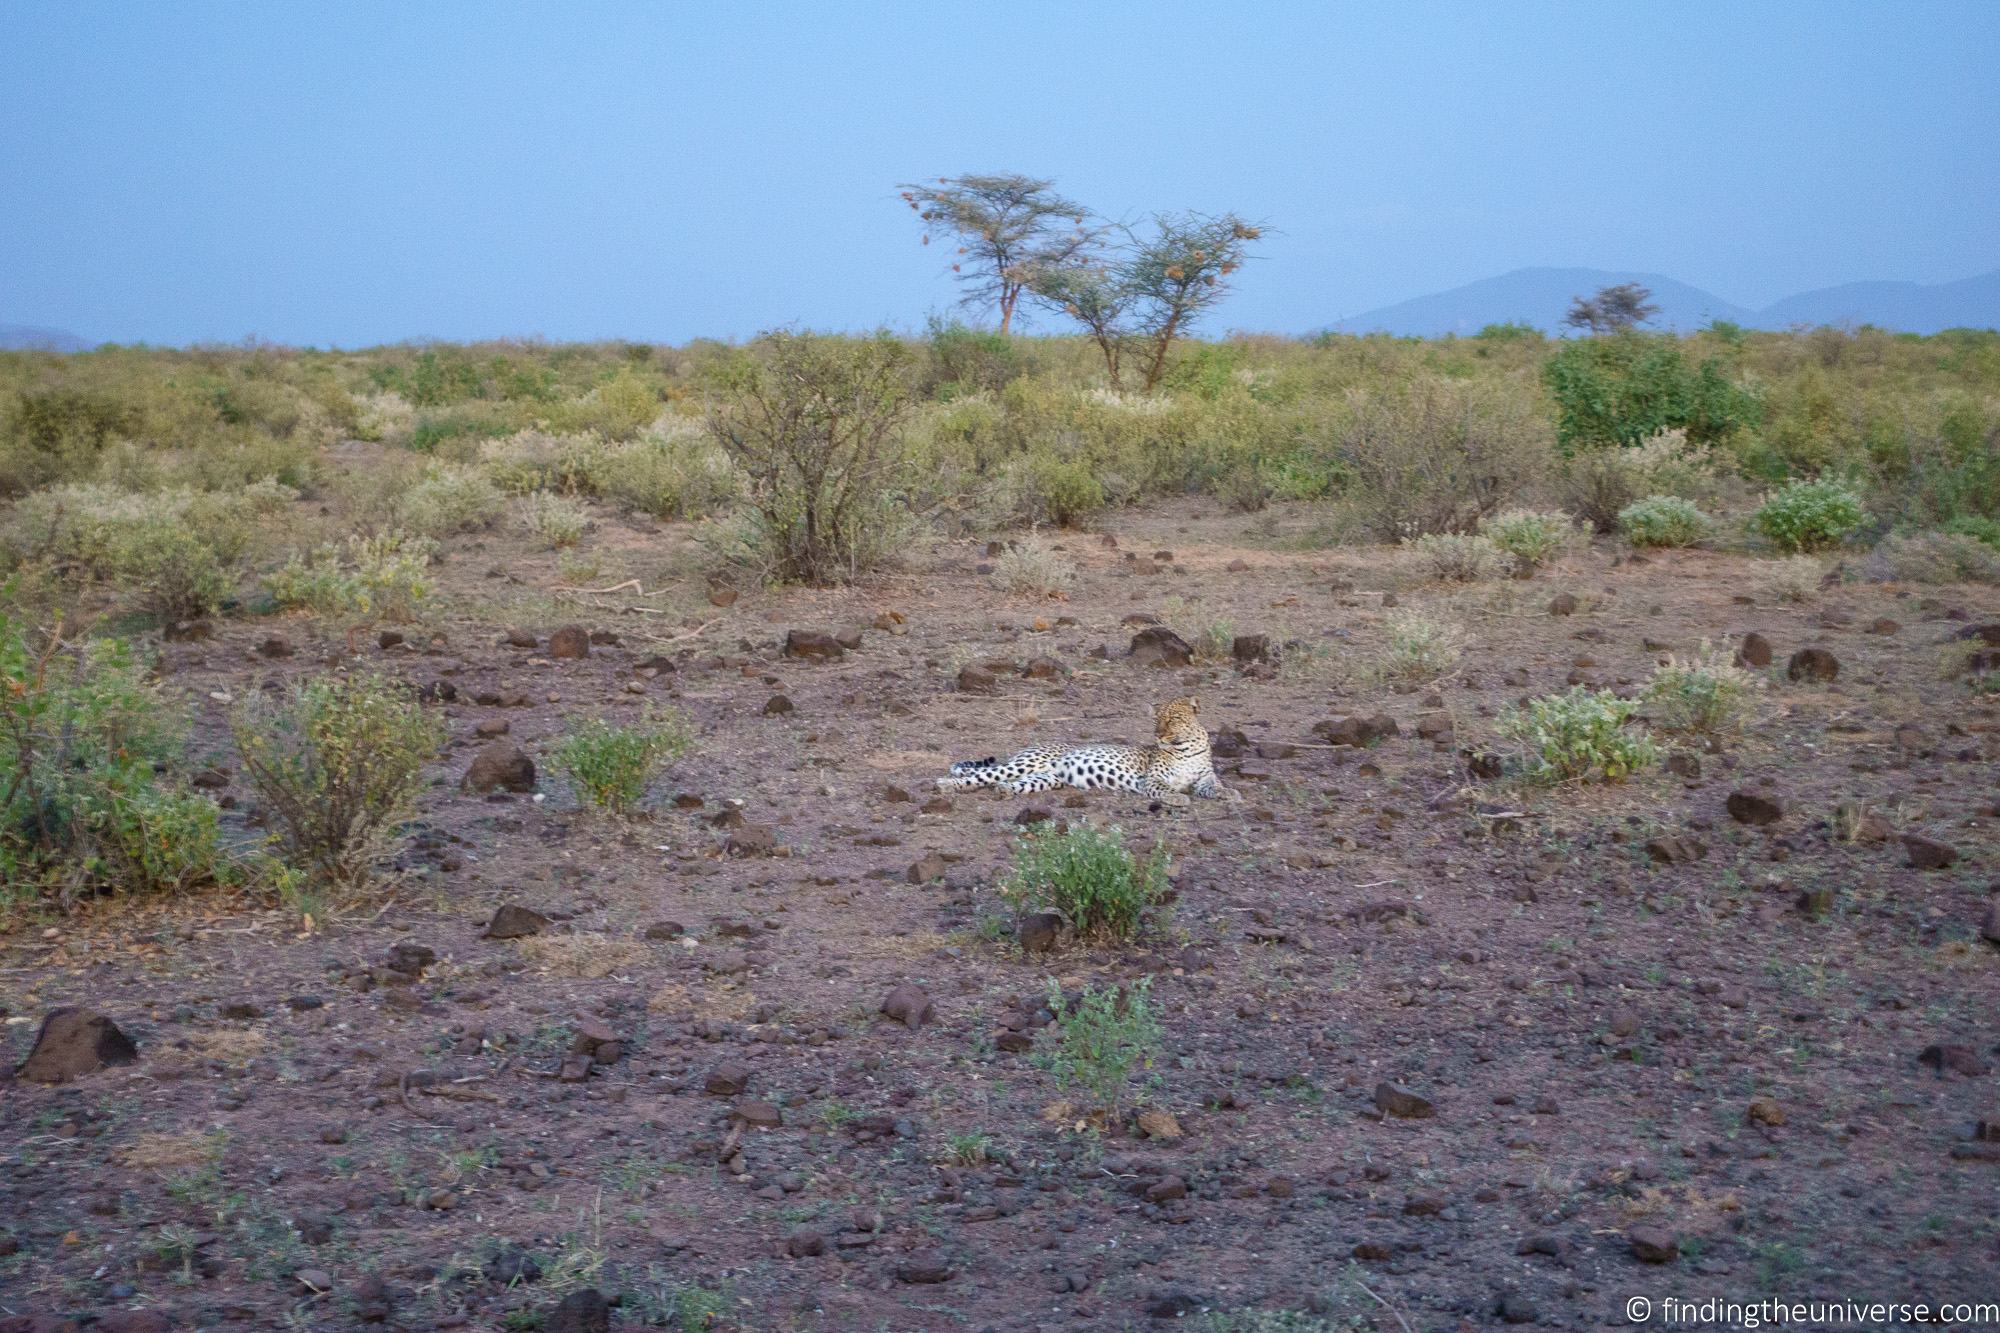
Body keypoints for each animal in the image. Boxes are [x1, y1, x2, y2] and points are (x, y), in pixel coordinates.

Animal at [936, 700, 1232, 804]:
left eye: (1172, 720)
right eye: (1156, 720)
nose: (1158, 735)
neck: (1186, 747)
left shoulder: (1204, 777)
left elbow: (1213, 785)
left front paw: (1230, 794)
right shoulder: (1153, 779)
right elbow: (1164, 788)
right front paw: (1178, 798)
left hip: (1046, 779)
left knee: (1010, 782)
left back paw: (1003, 791)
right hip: (1024, 765)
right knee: (981, 776)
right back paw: (945, 785)